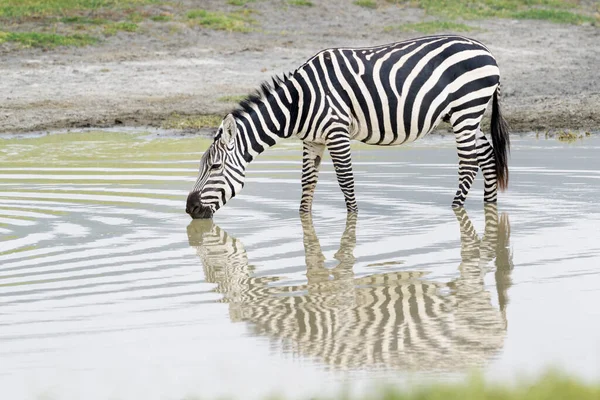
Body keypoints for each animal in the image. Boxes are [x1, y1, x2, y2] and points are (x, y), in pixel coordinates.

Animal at [185, 35, 508, 219]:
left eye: (214, 167)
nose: (190, 208)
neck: (297, 104)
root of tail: (486, 50)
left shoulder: (336, 132)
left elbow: (346, 182)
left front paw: (353, 222)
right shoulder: (312, 140)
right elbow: (307, 184)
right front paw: (303, 220)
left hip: (465, 110)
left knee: (469, 162)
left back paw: (455, 208)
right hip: (464, 116)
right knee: (487, 154)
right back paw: (489, 207)